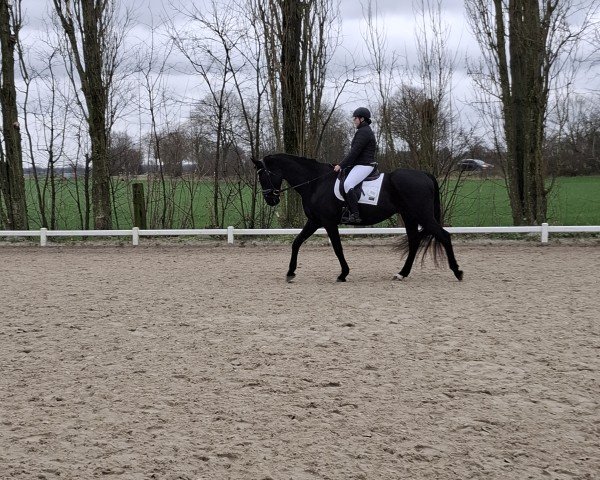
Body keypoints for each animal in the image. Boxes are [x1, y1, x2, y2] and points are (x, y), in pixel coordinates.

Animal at [254, 153, 464, 282]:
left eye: (263, 176)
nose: (270, 199)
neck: (316, 183)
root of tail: (425, 175)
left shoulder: (328, 222)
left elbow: (337, 248)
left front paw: (343, 274)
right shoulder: (314, 221)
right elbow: (296, 242)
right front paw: (290, 272)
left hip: (422, 215)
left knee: (444, 236)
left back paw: (457, 272)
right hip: (409, 216)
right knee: (414, 242)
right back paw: (401, 274)